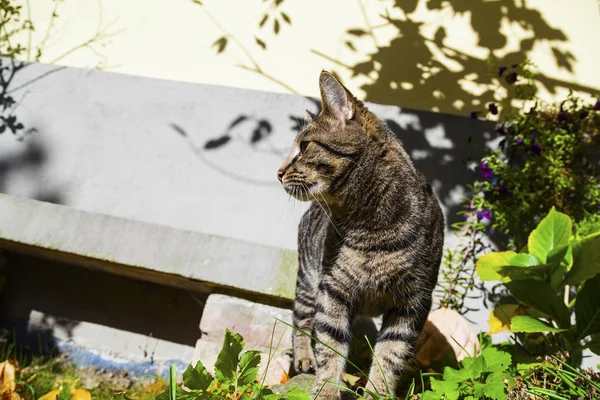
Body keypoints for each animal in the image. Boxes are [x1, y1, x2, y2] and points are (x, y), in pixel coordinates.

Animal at [278, 70, 446, 398]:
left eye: (304, 146)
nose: (278, 172)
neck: (369, 227)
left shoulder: (413, 301)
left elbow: (390, 356)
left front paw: (377, 392)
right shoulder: (332, 291)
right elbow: (330, 348)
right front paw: (326, 391)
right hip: (308, 280)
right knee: (301, 319)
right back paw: (304, 359)